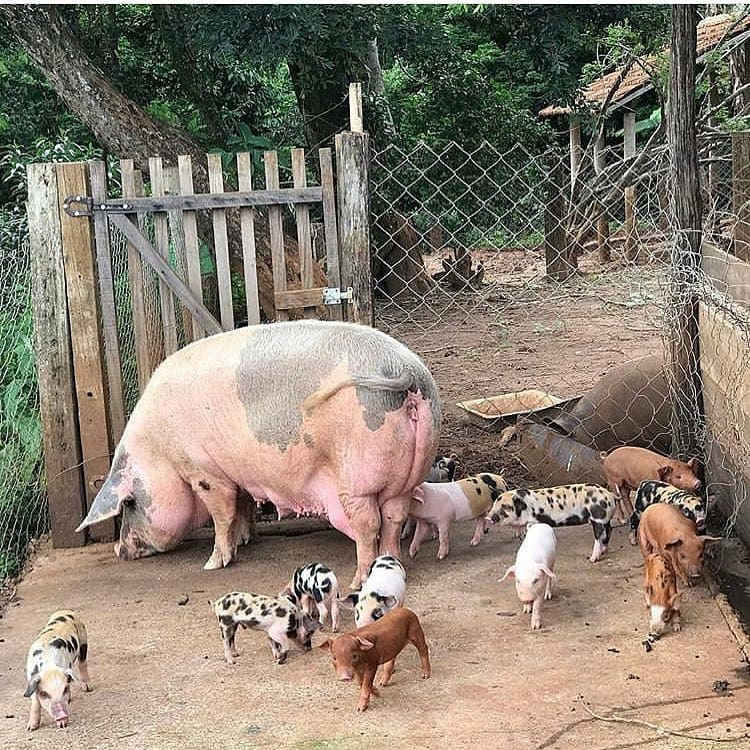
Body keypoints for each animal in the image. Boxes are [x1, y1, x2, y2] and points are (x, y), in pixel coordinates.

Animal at [74, 320, 444, 592]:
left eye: (129, 503)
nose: (119, 550)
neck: (159, 451)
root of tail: (406, 370)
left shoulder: (205, 472)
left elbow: (221, 515)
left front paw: (212, 564)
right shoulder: (237, 473)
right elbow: (243, 506)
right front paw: (246, 540)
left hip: (355, 479)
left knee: (368, 526)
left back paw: (358, 581)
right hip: (405, 479)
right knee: (394, 519)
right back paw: (391, 565)